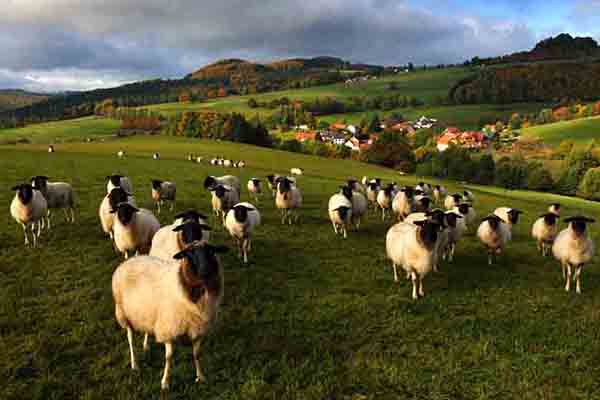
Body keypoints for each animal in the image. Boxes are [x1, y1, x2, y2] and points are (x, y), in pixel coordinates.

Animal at [110, 242, 227, 392]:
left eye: (211, 251)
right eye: (190, 253)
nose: (205, 271)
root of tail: (129, 260)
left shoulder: (198, 329)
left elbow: (197, 354)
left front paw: (200, 377)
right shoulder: (169, 329)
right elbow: (169, 357)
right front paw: (165, 382)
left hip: (147, 312)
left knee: (147, 329)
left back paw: (145, 345)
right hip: (123, 314)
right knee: (130, 339)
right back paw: (134, 364)